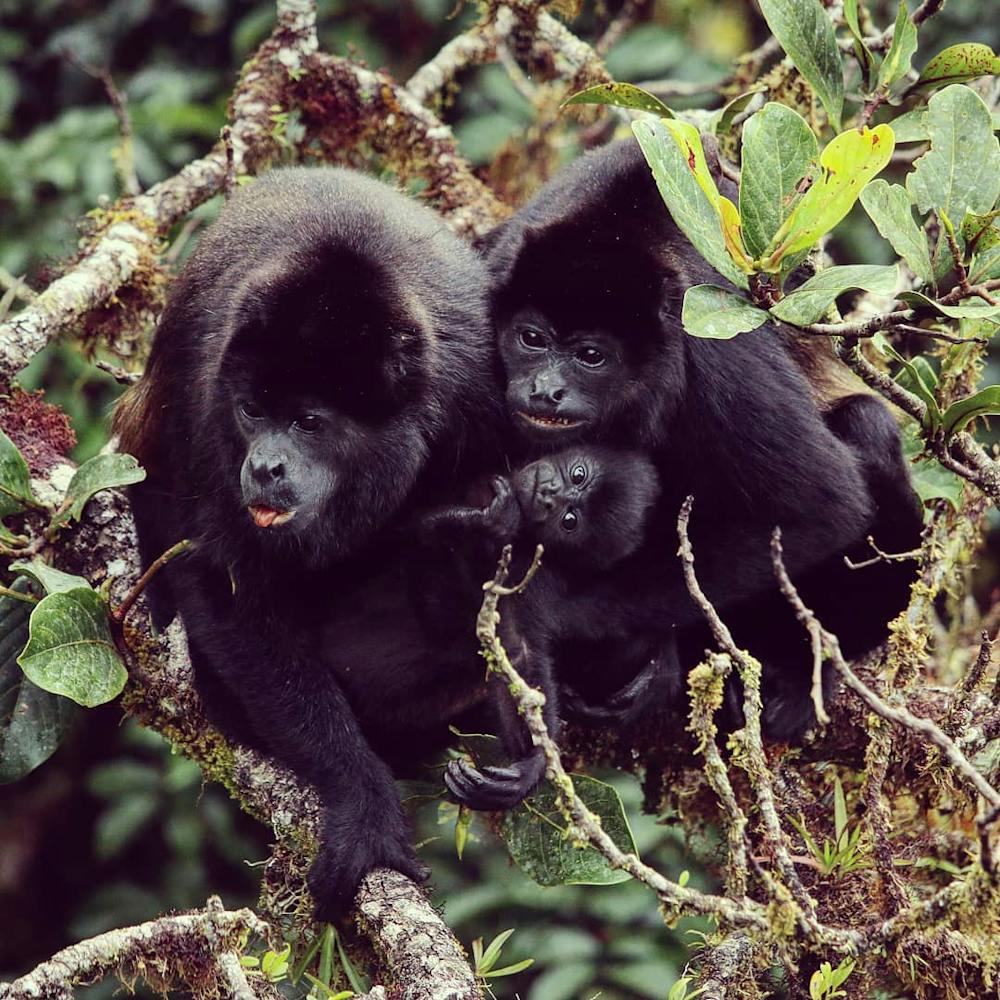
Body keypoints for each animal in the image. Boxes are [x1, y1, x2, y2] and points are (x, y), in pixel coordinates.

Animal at [115, 166, 508, 920]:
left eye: (308, 421)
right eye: (252, 411)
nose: (264, 466)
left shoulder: (479, 389)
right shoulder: (207, 410)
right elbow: (224, 587)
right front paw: (362, 801)